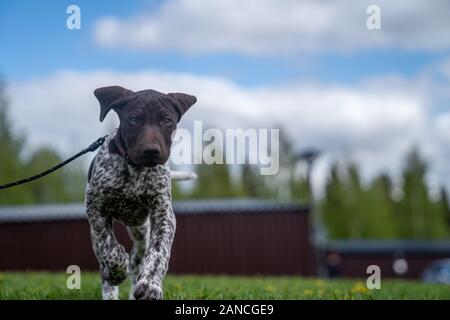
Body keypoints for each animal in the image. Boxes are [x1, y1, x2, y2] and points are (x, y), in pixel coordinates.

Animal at [85, 85, 196, 300]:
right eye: (134, 119)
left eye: (167, 120)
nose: (151, 151)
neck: (135, 169)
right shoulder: (95, 207)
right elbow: (108, 245)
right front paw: (117, 268)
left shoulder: (163, 213)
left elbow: (159, 251)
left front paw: (151, 284)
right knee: (103, 258)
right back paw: (110, 289)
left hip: (141, 230)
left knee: (138, 259)